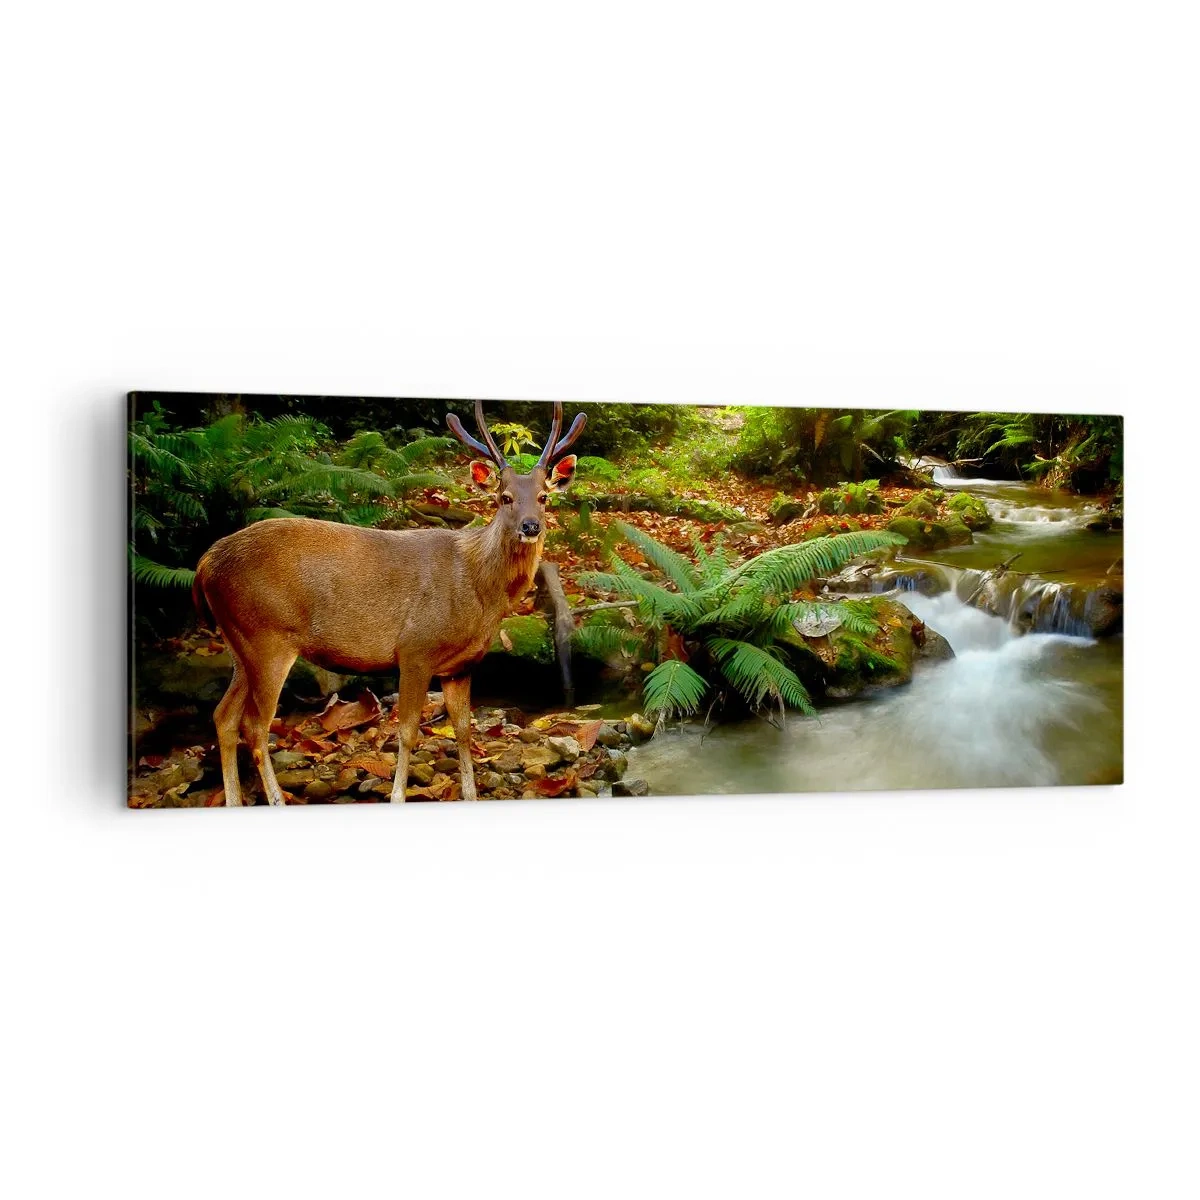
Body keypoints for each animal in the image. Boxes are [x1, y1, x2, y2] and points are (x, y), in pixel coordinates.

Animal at [191, 399, 586, 806]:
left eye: (543, 497)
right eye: (504, 497)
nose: (530, 526)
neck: (478, 590)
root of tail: (204, 564)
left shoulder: (460, 666)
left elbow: (463, 729)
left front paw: (470, 793)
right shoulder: (415, 647)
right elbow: (408, 731)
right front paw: (397, 794)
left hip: (240, 642)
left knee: (223, 716)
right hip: (267, 636)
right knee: (255, 726)